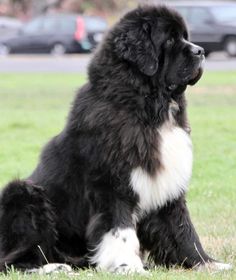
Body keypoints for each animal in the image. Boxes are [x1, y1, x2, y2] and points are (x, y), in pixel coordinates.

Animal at [0, 5, 230, 274]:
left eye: (185, 36)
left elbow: (183, 228)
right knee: (12, 260)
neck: (150, 110)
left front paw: (207, 263)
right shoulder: (112, 183)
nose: (200, 50)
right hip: (22, 193)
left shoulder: (169, 183)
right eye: (170, 39)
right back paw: (53, 267)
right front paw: (128, 265)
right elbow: (121, 229)